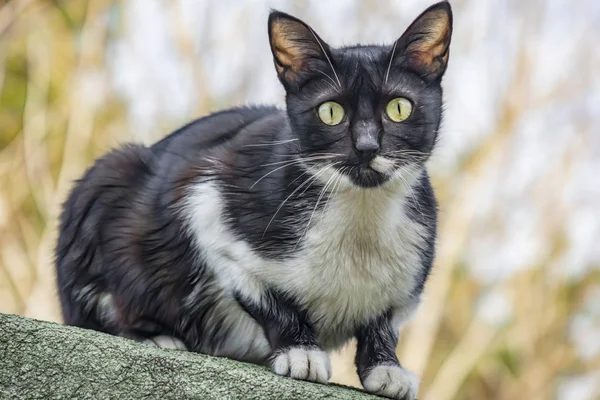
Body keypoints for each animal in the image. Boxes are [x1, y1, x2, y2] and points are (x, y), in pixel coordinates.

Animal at [56, 1, 452, 398]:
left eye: (399, 108)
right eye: (330, 112)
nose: (367, 147)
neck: (361, 216)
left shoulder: (412, 273)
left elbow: (384, 321)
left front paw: (386, 368)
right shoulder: (206, 201)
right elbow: (266, 298)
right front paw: (301, 352)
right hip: (108, 178)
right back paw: (159, 337)